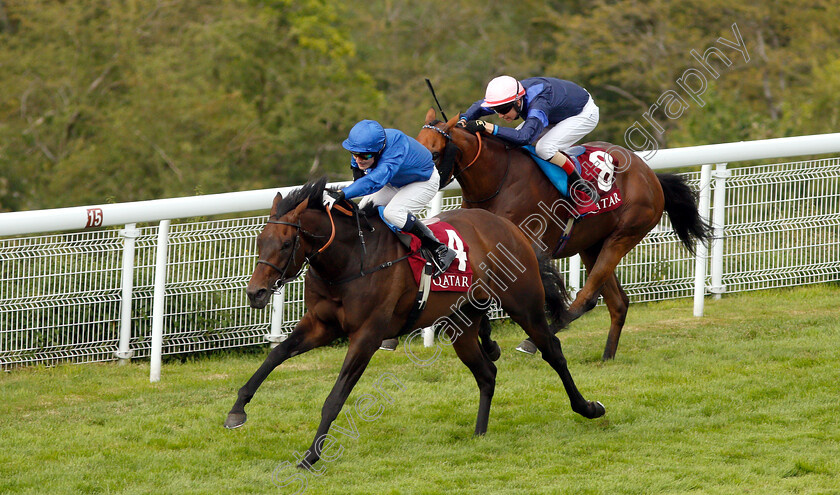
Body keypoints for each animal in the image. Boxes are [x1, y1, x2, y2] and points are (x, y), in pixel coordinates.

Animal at [223, 177, 604, 468]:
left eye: (287, 242)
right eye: (260, 240)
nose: (256, 292)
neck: (349, 261)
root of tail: (508, 227)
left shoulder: (367, 335)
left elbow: (335, 397)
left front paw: (311, 457)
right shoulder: (321, 324)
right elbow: (276, 356)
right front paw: (237, 411)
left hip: (524, 305)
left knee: (552, 351)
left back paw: (587, 407)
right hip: (461, 324)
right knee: (486, 372)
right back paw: (480, 432)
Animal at [418, 110, 708, 360]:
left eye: (435, 153)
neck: (498, 181)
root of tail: (650, 175)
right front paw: (487, 342)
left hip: (624, 235)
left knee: (588, 297)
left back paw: (533, 341)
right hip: (591, 245)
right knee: (618, 302)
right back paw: (607, 356)